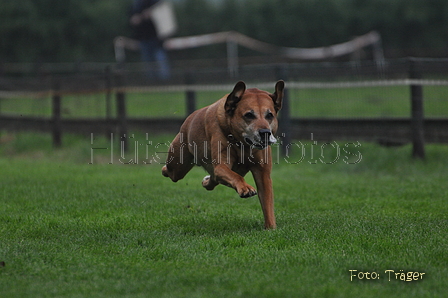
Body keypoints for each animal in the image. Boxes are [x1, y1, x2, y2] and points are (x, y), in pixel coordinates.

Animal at [163, 80, 286, 229]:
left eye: (270, 115)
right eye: (249, 115)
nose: (265, 133)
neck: (241, 145)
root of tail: (188, 120)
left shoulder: (263, 173)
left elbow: (267, 202)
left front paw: (271, 227)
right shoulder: (221, 166)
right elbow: (234, 175)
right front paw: (246, 188)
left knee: (213, 180)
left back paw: (206, 181)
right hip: (178, 165)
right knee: (171, 171)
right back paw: (165, 169)